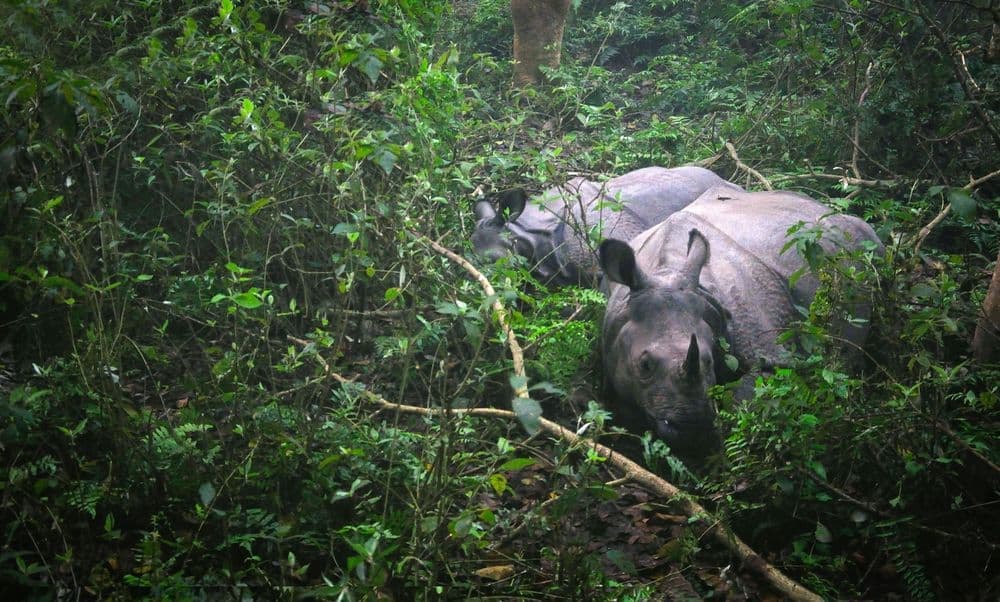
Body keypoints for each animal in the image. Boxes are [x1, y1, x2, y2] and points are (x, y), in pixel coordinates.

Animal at [599, 187, 883, 454]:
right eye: (644, 365)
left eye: (709, 360)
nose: (692, 428)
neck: (665, 270)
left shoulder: (771, 351)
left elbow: (745, 396)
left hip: (865, 241)